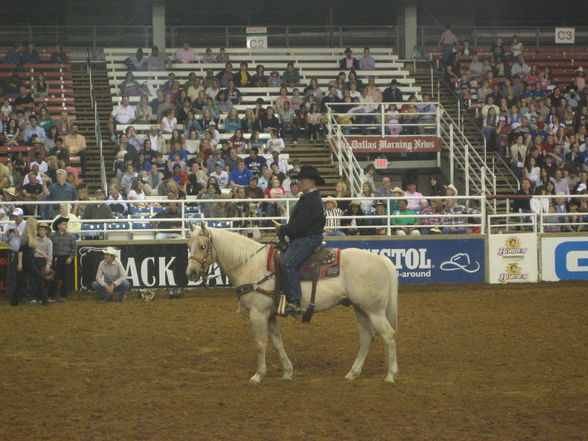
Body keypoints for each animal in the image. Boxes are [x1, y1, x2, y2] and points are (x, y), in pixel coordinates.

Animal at [187, 223, 400, 382]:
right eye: (189, 246)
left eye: (203, 246)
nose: (191, 274)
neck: (251, 265)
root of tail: (382, 260)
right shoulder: (270, 315)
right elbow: (277, 343)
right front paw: (287, 372)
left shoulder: (258, 313)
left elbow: (261, 344)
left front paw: (258, 375)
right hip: (360, 308)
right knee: (367, 338)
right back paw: (352, 373)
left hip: (375, 311)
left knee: (389, 335)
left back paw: (390, 375)